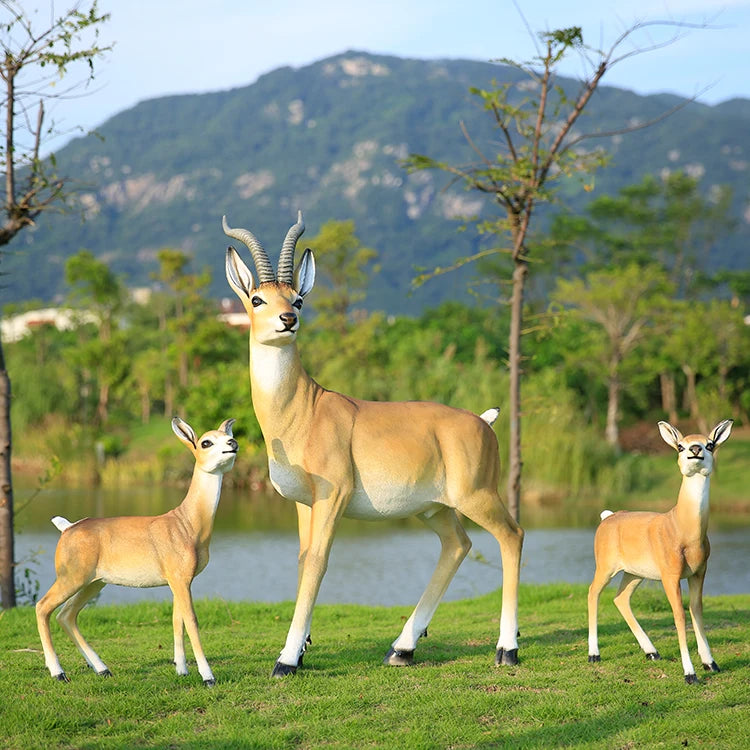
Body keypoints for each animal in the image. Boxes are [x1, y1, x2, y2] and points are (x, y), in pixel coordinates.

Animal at [35, 417, 238, 686]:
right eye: (206, 442)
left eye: (228, 435)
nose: (233, 443)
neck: (188, 525)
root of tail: (67, 528)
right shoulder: (180, 577)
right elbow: (192, 620)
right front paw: (208, 676)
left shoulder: (179, 579)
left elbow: (177, 620)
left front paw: (181, 669)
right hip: (71, 575)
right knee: (43, 607)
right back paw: (58, 672)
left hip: (94, 581)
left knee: (66, 615)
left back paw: (102, 669)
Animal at [222, 210, 524, 677]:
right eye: (257, 299)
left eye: (298, 299)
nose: (288, 319)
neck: (303, 412)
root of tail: (483, 421)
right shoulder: (303, 502)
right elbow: (302, 561)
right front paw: (302, 648)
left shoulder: (333, 497)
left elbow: (318, 562)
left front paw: (287, 659)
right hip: (435, 509)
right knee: (458, 546)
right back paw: (402, 648)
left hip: (478, 496)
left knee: (512, 536)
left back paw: (507, 649)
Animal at [587, 418, 733, 684]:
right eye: (680, 446)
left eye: (710, 444)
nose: (695, 449)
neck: (684, 532)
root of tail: (606, 517)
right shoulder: (670, 573)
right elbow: (679, 616)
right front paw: (690, 674)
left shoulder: (700, 571)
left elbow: (696, 610)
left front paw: (710, 663)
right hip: (605, 563)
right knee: (593, 592)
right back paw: (594, 654)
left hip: (634, 572)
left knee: (620, 598)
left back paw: (652, 652)